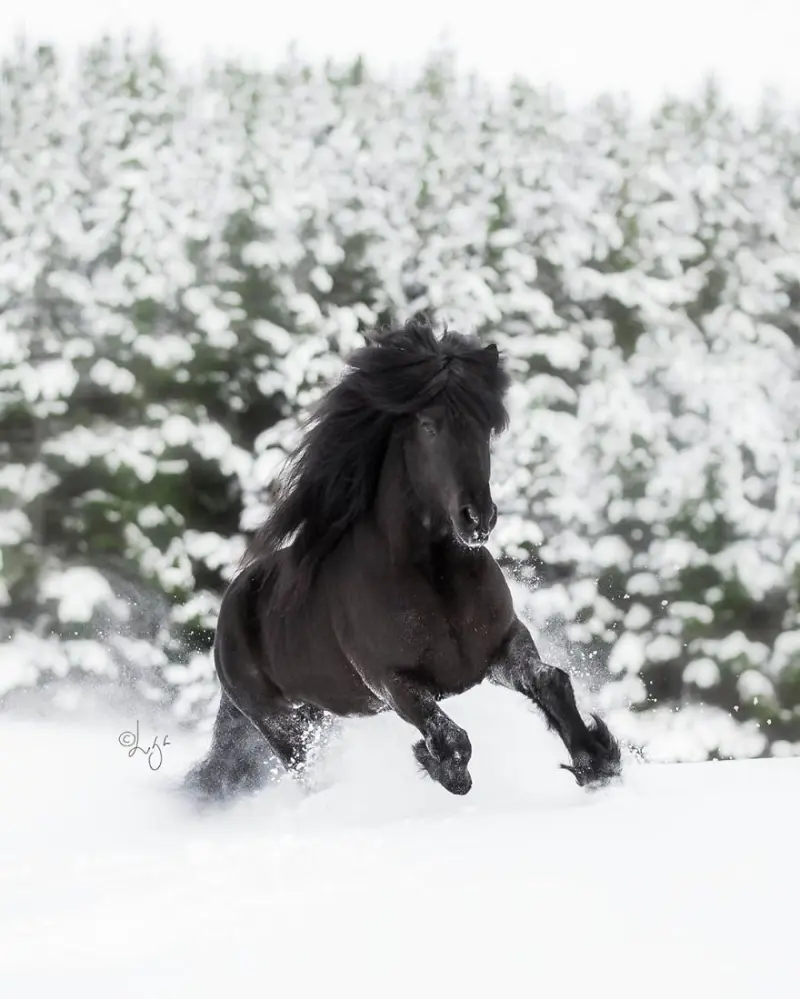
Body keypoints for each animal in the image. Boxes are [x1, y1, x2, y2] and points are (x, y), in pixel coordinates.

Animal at [184, 318, 622, 803]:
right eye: (429, 426)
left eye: (486, 425)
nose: (478, 518)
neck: (435, 575)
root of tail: (229, 608)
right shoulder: (391, 680)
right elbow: (452, 739)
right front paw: (438, 766)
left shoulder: (503, 646)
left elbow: (552, 681)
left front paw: (598, 763)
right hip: (278, 721)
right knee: (307, 769)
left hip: (318, 712)